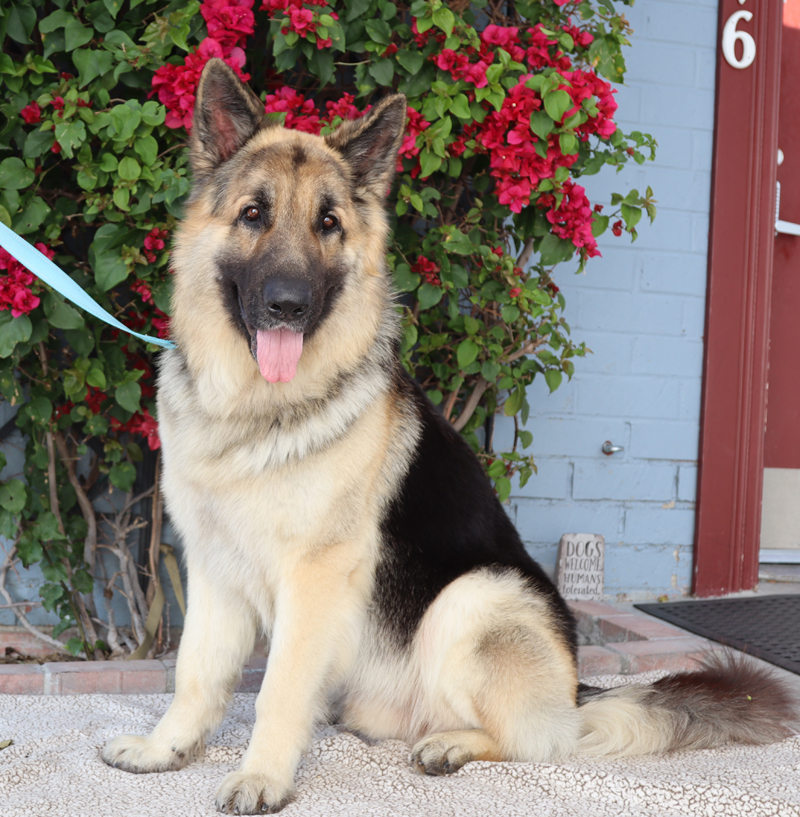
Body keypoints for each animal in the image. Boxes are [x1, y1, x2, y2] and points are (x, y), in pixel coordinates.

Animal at [101, 58, 798, 814]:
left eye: (328, 223)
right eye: (253, 214)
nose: (288, 304)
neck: (258, 409)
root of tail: (575, 689)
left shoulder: (313, 580)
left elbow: (277, 690)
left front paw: (263, 775)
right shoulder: (213, 570)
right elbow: (195, 673)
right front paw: (167, 750)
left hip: (472, 598)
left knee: (540, 740)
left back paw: (453, 744)